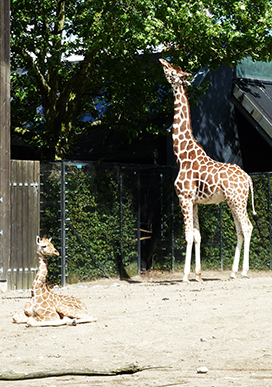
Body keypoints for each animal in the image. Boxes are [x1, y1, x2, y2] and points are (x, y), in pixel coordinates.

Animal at [160, 57, 258, 282]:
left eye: (172, 71)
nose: (161, 61)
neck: (182, 155)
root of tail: (248, 178)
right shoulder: (195, 201)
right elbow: (198, 235)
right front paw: (198, 275)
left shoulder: (184, 197)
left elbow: (188, 235)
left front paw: (185, 276)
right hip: (233, 201)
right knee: (240, 230)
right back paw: (233, 272)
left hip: (237, 200)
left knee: (247, 227)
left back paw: (244, 271)